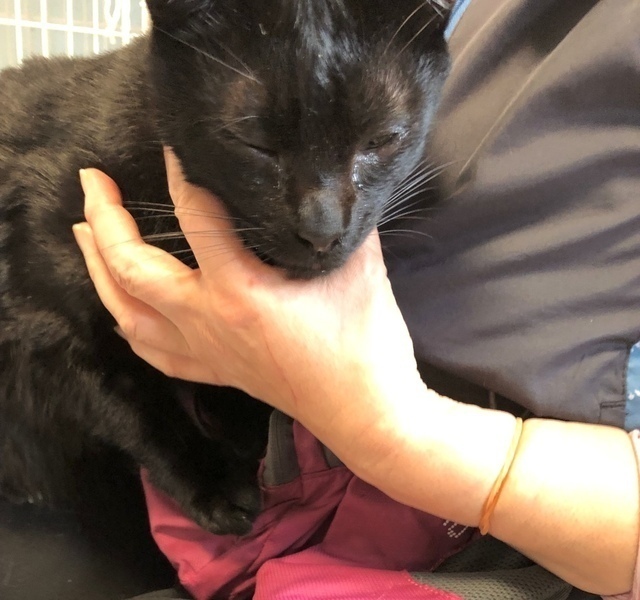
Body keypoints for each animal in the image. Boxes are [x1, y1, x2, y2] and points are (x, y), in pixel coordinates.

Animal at [0, 0, 451, 535]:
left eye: (382, 139)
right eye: (253, 142)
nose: (322, 229)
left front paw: (243, 427)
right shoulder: (44, 326)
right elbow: (134, 405)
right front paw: (213, 483)